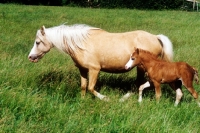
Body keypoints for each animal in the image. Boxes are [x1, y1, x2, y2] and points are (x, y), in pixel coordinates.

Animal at [28, 23, 173, 101]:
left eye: (37, 42)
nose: (30, 57)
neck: (81, 44)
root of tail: (155, 37)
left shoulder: (94, 69)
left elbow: (91, 87)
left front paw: (106, 99)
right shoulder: (82, 69)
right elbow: (83, 86)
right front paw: (82, 101)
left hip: (142, 68)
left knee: (139, 84)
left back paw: (123, 99)